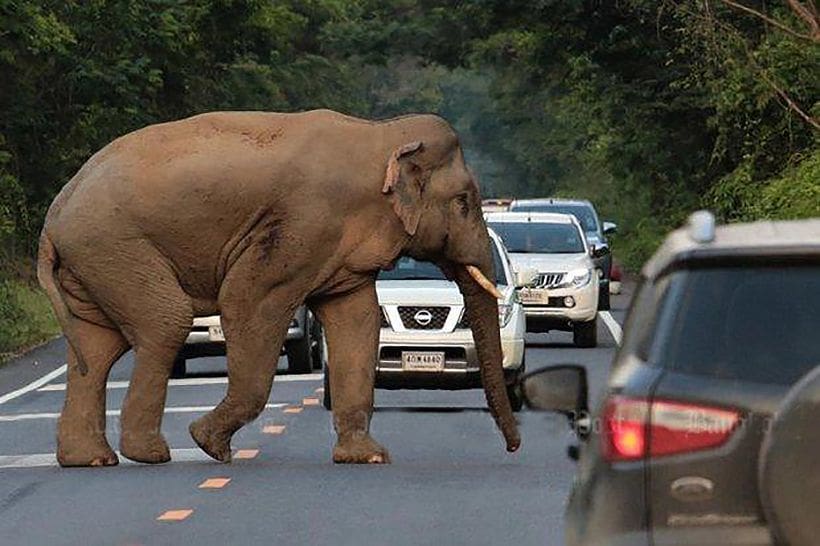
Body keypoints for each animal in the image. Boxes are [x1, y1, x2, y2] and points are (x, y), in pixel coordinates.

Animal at [36, 108, 520, 466]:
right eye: (464, 202)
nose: (514, 448)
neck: (380, 134)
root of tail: (54, 214)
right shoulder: (301, 226)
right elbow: (247, 301)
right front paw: (210, 445)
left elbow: (356, 320)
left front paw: (367, 458)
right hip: (114, 245)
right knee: (165, 321)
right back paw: (151, 454)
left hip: (97, 260)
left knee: (96, 346)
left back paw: (90, 459)